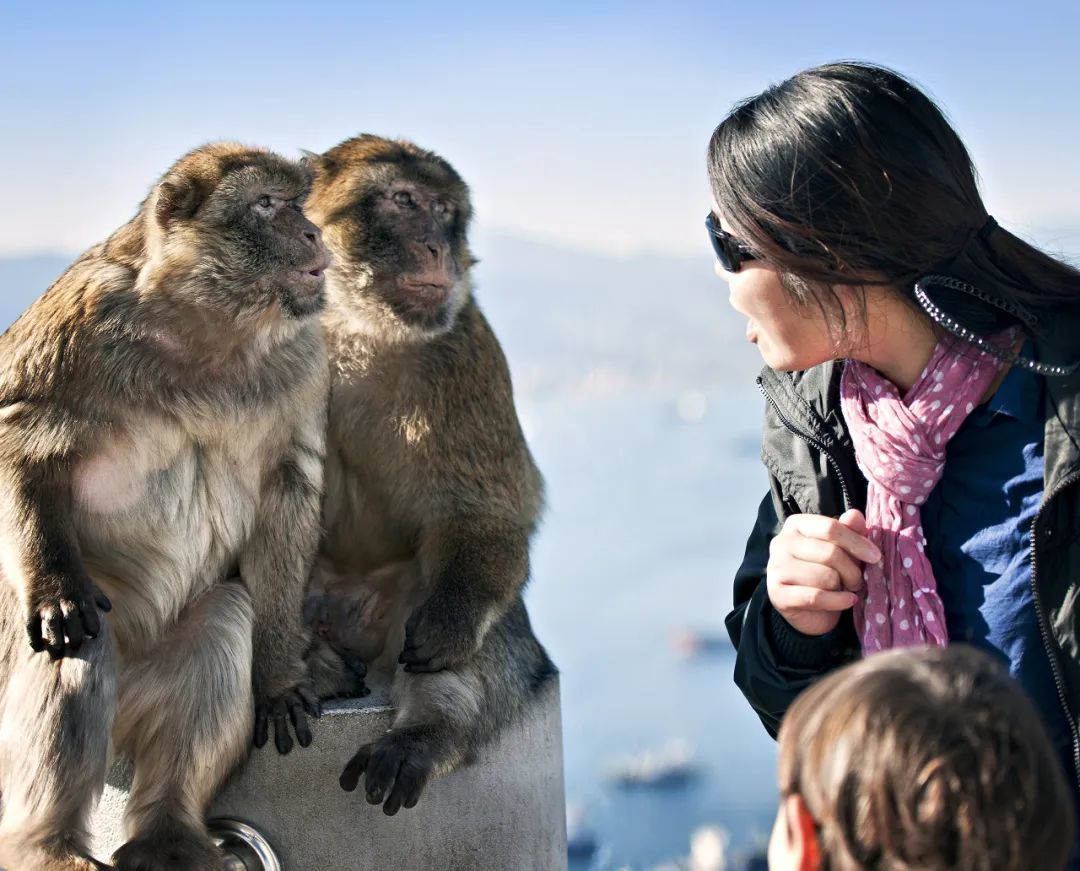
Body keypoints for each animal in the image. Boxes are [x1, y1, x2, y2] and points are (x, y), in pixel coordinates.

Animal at [0, 144, 328, 871]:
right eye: (267, 204)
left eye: (299, 202)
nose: (313, 231)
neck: (210, 328)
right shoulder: (83, 314)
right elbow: (18, 434)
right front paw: (54, 585)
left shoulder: (304, 355)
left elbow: (288, 488)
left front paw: (280, 677)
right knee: (78, 638)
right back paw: (48, 845)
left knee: (224, 617)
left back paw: (168, 833)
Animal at [302, 132, 561, 816]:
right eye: (403, 201)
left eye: (446, 211)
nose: (438, 247)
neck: (355, 324)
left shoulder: (466, 350)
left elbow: (484, 509)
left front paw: (451, 626)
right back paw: (313, 668)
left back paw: (423, 735)